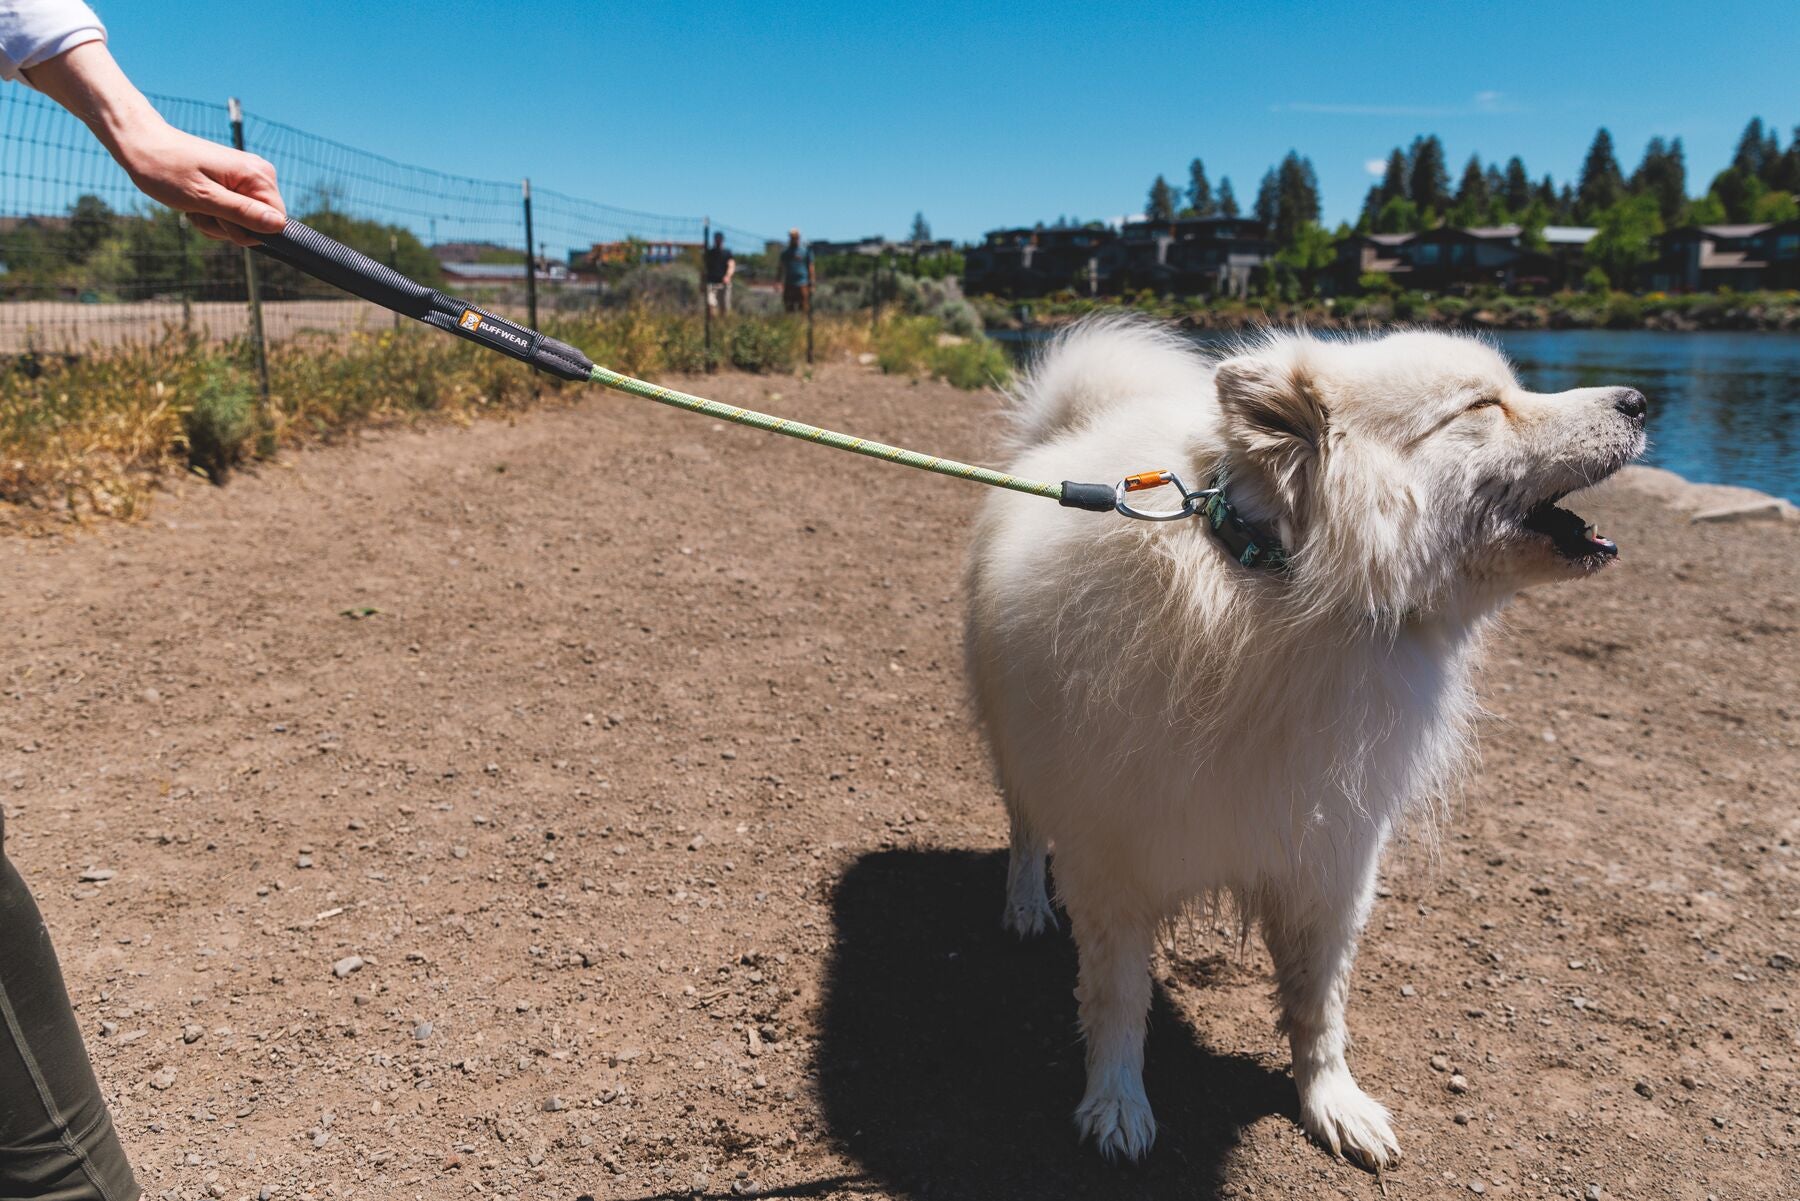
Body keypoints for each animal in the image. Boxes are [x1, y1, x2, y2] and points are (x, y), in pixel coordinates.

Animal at [972, 316, 1648, 1166]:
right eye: (1482, 405)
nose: (1640, 399)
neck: (1278, 586)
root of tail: (1067, 431)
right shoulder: (1114, 861)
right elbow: (1118, 1000)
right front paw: (1117, 1105)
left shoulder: (1330, 856)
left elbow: (1319, 1005)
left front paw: (1333, 1103)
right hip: (1015, 743)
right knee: (1027, 827)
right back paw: (1026, 903)